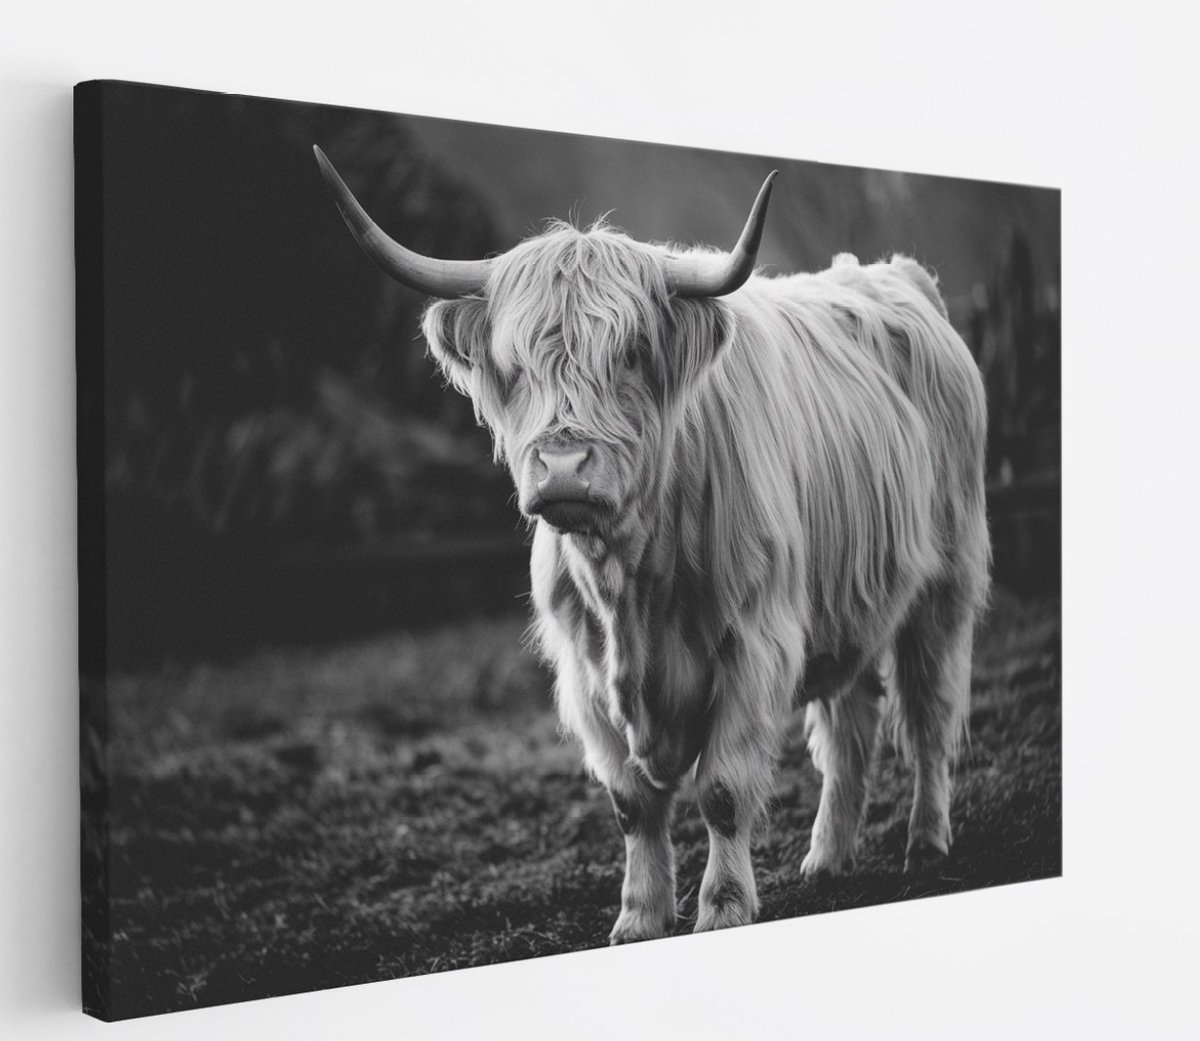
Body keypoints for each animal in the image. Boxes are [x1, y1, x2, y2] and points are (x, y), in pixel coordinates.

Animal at [313, 146, 991, 943]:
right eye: (514, 366)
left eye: (633, 353)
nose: (564, 468)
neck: (629, 586)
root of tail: (895, 275)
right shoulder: (584, 667)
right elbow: (633, 805)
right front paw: (637, 917)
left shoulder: (754, 642)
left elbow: (723, 791)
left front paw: (721, 908)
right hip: (845, 595)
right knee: (849, 724)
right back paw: (827, 859)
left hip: (946, 581)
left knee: (929, 713)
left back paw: (926, 841)